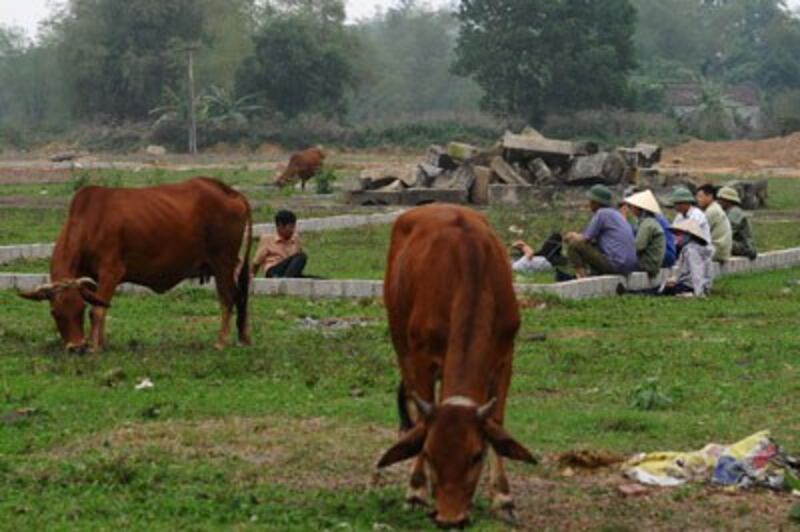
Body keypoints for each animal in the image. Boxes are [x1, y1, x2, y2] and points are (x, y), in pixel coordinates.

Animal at [18, 178, 252, 354]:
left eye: (79, 309)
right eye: (55, 313)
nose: (77, 348)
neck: (88, 224)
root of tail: (230, 191)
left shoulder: (111, 271)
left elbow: (98, 311)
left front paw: (95, 348)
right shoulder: (94, 280)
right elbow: (101, 306)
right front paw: (102, 343)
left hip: (222, 262)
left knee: (228, 297)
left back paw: (221, 342)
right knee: (239, 295)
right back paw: (242, 337)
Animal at [376, 204, 536, 528]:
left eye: (476, 455)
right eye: (428, 453)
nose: (451, 519)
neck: (472, 271)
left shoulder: (505, 357)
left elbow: (497, 422)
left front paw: (504, 498)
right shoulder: (421, 357)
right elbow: (421, 418)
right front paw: (416, 491)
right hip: (400, 342)